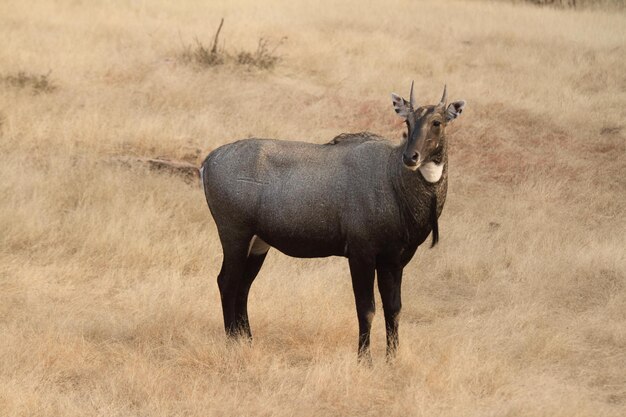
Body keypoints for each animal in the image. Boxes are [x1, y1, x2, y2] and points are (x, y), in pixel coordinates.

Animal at [200, 83, 464, 360]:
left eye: (437, 122)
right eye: (408, 121)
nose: (411, 157)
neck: (393, 177)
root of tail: (208, 161)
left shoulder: (394, 260)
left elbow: (394, 309)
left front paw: (391, 359)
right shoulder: (361, 254)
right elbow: (366, 308)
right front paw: (365, 360)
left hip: (259, 243)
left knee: (243, 286)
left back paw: (247, 341)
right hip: (234, 235)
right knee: (226, 282)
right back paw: (231, 342)